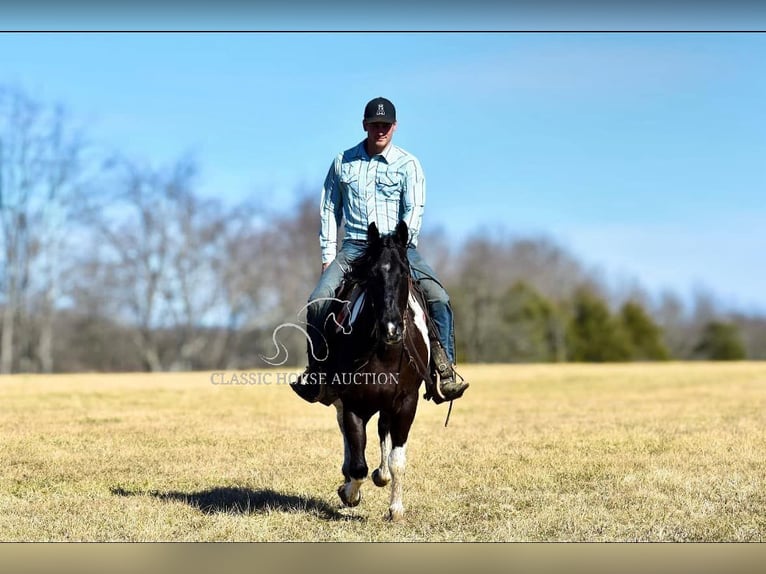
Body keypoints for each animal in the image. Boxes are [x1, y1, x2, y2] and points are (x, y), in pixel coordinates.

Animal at [320, 219, 436, 520]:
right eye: (372, 274)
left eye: (404, 272)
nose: (391, 329)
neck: (385, 351)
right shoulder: (352, 404)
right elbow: (358, 463)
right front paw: (348, 494)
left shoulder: (406, 401)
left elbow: (397, 459)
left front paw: (396, 509)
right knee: (347, 437)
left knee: (383, 431)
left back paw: (381, 476)